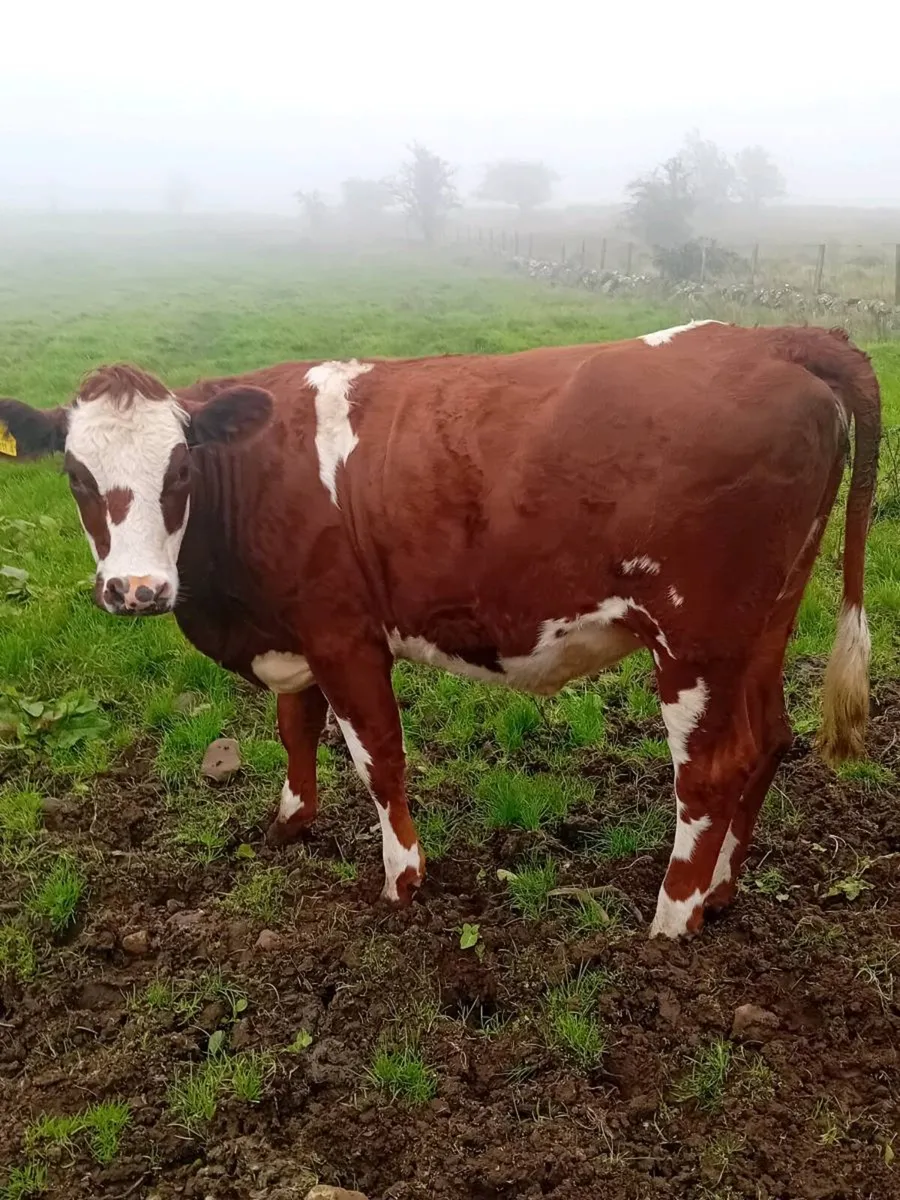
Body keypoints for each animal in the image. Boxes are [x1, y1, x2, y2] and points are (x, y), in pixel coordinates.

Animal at [0, 320, 881, 938]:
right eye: (75, 477)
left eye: (179, 469)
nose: (136, 590)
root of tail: (774, 338)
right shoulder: (297, 630)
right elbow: (295, 728)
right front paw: (288, 826)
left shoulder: (344, 634)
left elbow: (378, 759)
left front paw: (402, 879)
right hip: (764, 624)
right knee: (768, 740)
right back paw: (722, 893)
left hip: (695, 636)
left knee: (708, 771)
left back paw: (670, 922)